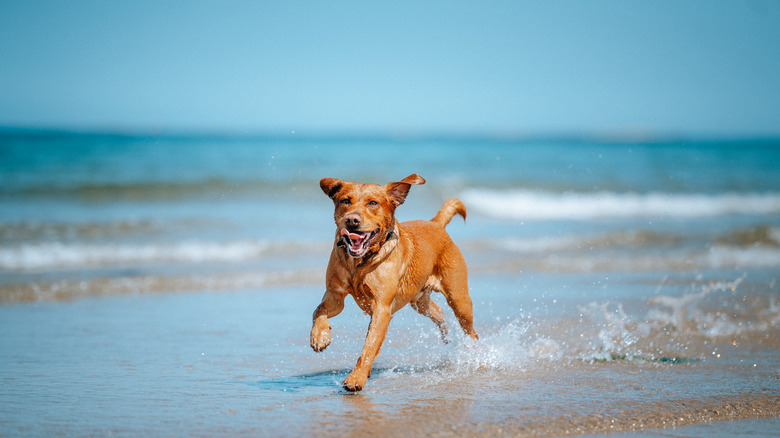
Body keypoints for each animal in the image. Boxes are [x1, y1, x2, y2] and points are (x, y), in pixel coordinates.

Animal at [310, 173, 478, 392]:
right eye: (345, 201)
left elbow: (369, 347)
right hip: (419, 301)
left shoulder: (381, 307)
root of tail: (436, 224)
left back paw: (474, 356)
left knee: (470, 330)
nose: (352, 220)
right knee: (438, 312)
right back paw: (446, 335)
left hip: (458, 297)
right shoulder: (335, 295)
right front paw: (319, 336)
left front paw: (356, 378)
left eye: (373, 203)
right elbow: (318, 310)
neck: (360, 263)